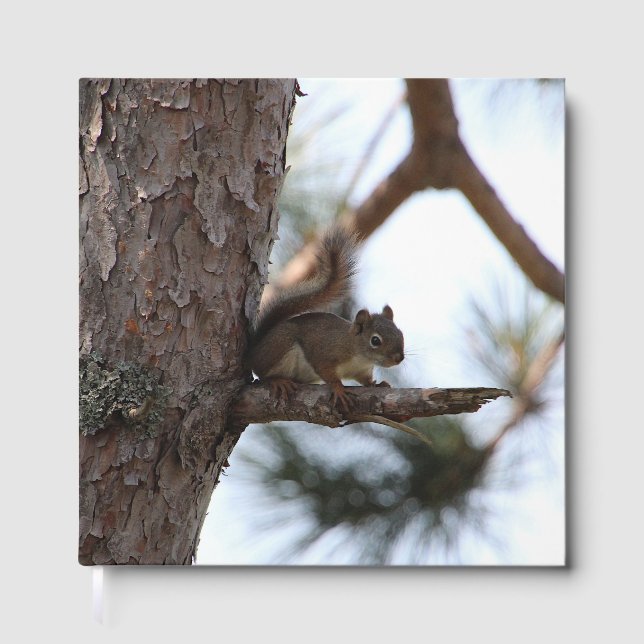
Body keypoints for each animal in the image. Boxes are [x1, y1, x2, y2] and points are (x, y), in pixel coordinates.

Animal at [247, 226, 405, 411]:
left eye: (401, 334)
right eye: (375, 340)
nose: (399, 358)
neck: (358, 355)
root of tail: (254, 351)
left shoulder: (362, 371)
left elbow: (366, 380)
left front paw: (376, 384)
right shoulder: (325, 352)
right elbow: (326, 372)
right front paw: (338, 388)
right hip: (280, 345)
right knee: (263, 374)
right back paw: (277, 381)